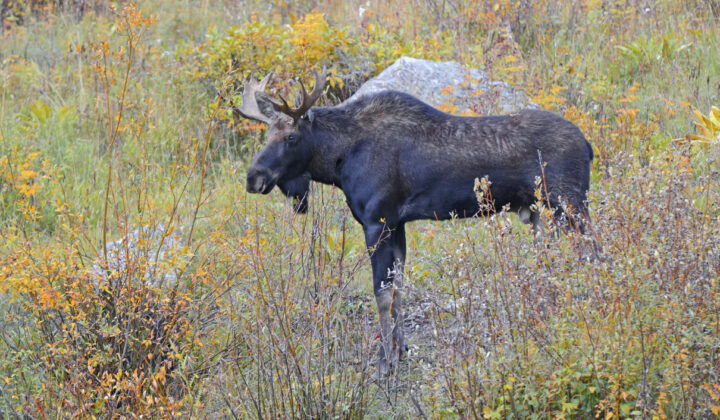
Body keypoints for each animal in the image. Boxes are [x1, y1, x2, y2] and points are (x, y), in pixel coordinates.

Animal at [233, 69, 592, 374]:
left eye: (291, 138)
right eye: (267, 133)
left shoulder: (376, 222)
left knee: (592, 256)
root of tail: (588, 147)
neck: (338, 162)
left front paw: (385, 362)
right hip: (542, 213)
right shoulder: (397, 224)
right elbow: (398, 287)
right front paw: (400, 349)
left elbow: (381, 293)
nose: (253, 178)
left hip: (570, 206)